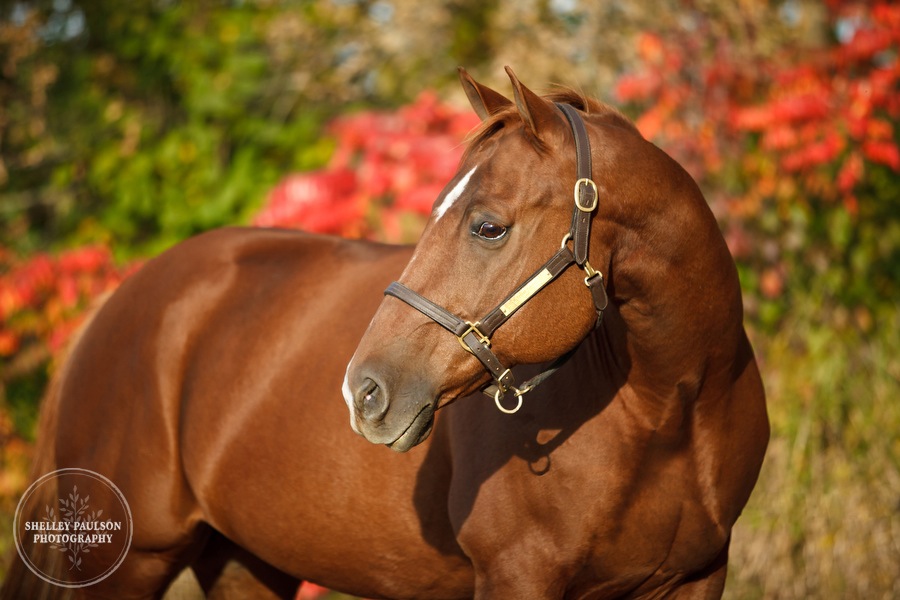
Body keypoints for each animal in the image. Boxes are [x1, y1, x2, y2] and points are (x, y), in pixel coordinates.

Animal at [5, 68, 768, 596]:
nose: (364, 392)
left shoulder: (698, 577)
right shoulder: (519, 575)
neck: (669, 411)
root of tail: (119, 303)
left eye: (488, 225)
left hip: (246, 561)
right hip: (132, 559)